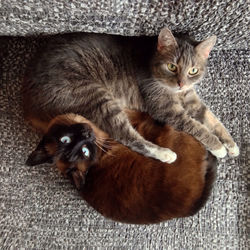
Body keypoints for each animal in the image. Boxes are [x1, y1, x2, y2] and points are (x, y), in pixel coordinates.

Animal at [23, 27, 238, 164]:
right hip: (97, 98)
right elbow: (197, 126)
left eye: (193, 70)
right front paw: (218, 147)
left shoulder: (191, 99)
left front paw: (231, 143)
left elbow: (212, 119)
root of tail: (28, 100)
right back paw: (165, 154)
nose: (181, 83)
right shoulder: (165, 108)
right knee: (127, 136)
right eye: (172, 66)